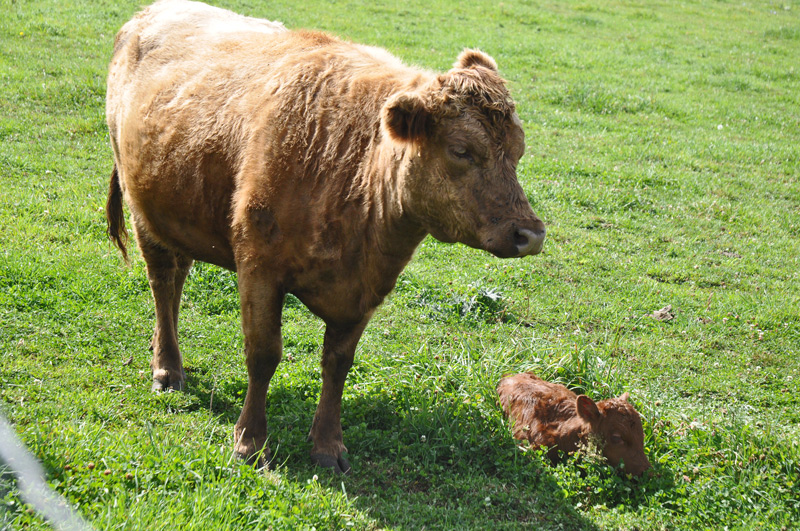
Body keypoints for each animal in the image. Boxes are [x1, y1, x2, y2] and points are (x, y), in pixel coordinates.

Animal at [105, 0, 546, 474]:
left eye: (518, 151)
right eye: (462, 150)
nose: (531, 234)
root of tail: (146, 15)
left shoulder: (365, 292)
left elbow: (337, 364)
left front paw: (328, 446)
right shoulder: (259, 269)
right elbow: (263, 355)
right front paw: (250, 441)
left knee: (177, 279)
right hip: (143, 214)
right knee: (162, 285)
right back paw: (167, 369)